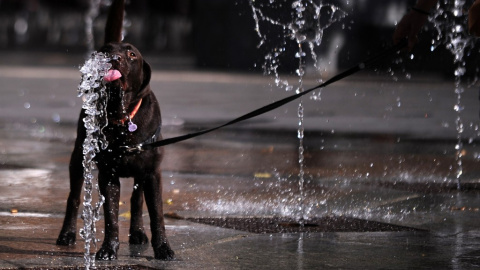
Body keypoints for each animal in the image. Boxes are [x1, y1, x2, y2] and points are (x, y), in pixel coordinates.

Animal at [55, 0, 174, 262]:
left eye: (132, 54)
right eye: (104, 51)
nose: (114, 58)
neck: (121, 116)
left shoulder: (153, 174)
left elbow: (157, 215)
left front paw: (163, 248)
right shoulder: (108, 175)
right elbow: (111, 216)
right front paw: (108, 249)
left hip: (141, 174)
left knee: (137, 200)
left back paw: (138, 232)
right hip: (78, 157)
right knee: (73, 197)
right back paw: (67, 234)